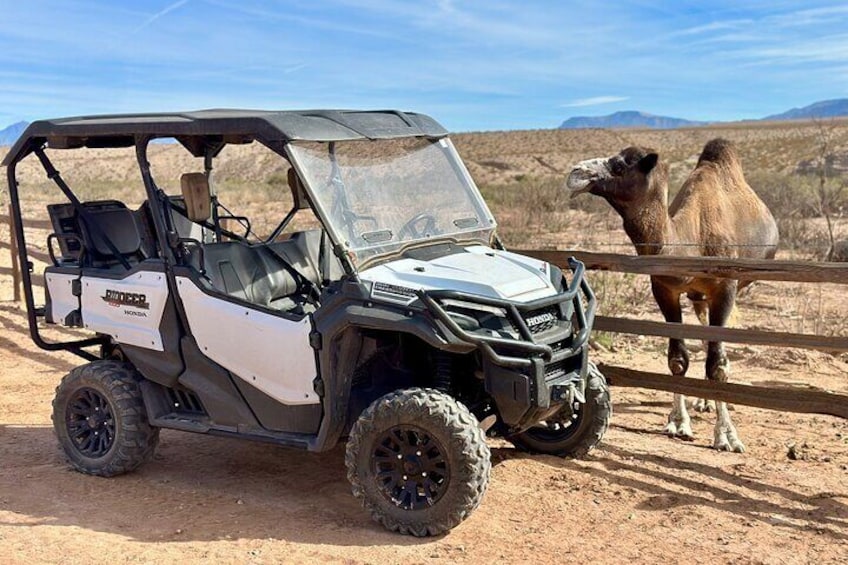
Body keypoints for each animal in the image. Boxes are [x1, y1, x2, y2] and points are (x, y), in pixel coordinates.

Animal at [566, 139, 779, 452]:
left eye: (619, 165)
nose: (575, 173)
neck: (693, 238)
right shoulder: (665, 289)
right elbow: (678, 359)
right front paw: (678, 423)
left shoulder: (725, 288)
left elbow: (717, 365)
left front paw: (726, 435)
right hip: (699, 298)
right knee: (705, 339)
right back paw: (703, 402)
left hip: (734, 288)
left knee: (718, 349)